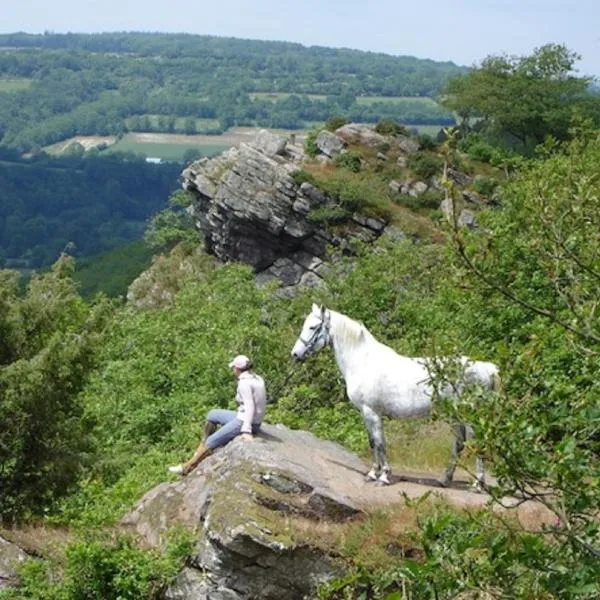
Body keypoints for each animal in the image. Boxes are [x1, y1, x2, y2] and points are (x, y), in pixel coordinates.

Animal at [288, 304, 500, 488]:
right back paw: (445, 479)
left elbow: (380, 443)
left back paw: (477, 484)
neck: (362, 361)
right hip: (455, 415)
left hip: (468, 414)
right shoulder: (367, 413)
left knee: (475, 442)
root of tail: (485, 368)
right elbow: (373, 442)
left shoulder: (372, 412)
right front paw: (373, 473)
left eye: (313, 327)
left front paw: (383, 476)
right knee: (459, 443)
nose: (295, 354)